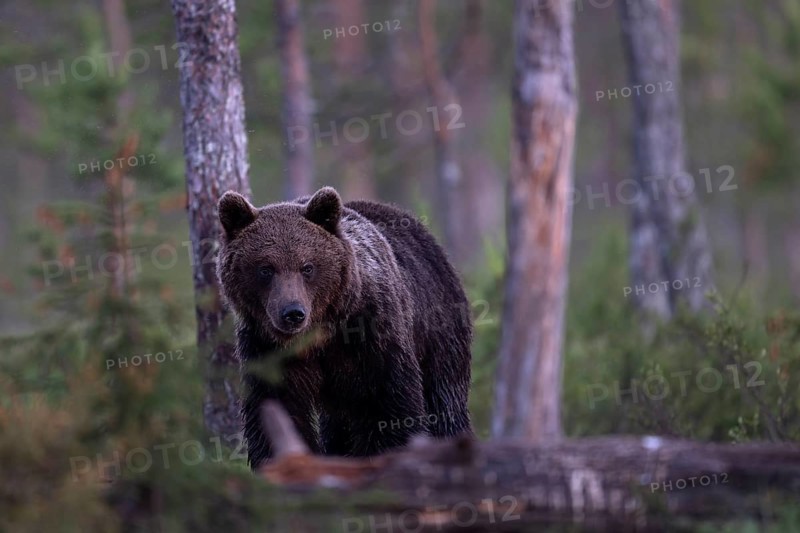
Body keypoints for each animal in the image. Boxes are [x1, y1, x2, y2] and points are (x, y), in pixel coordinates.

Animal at [216, 186, 473, 469]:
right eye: (265, 269)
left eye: (307, 266)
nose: (292, 313)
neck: (318, 334)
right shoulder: (266, 348)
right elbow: (277, 406)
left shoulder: (371, 333)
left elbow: (387, 405)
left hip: (438, 328)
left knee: (444, 399)